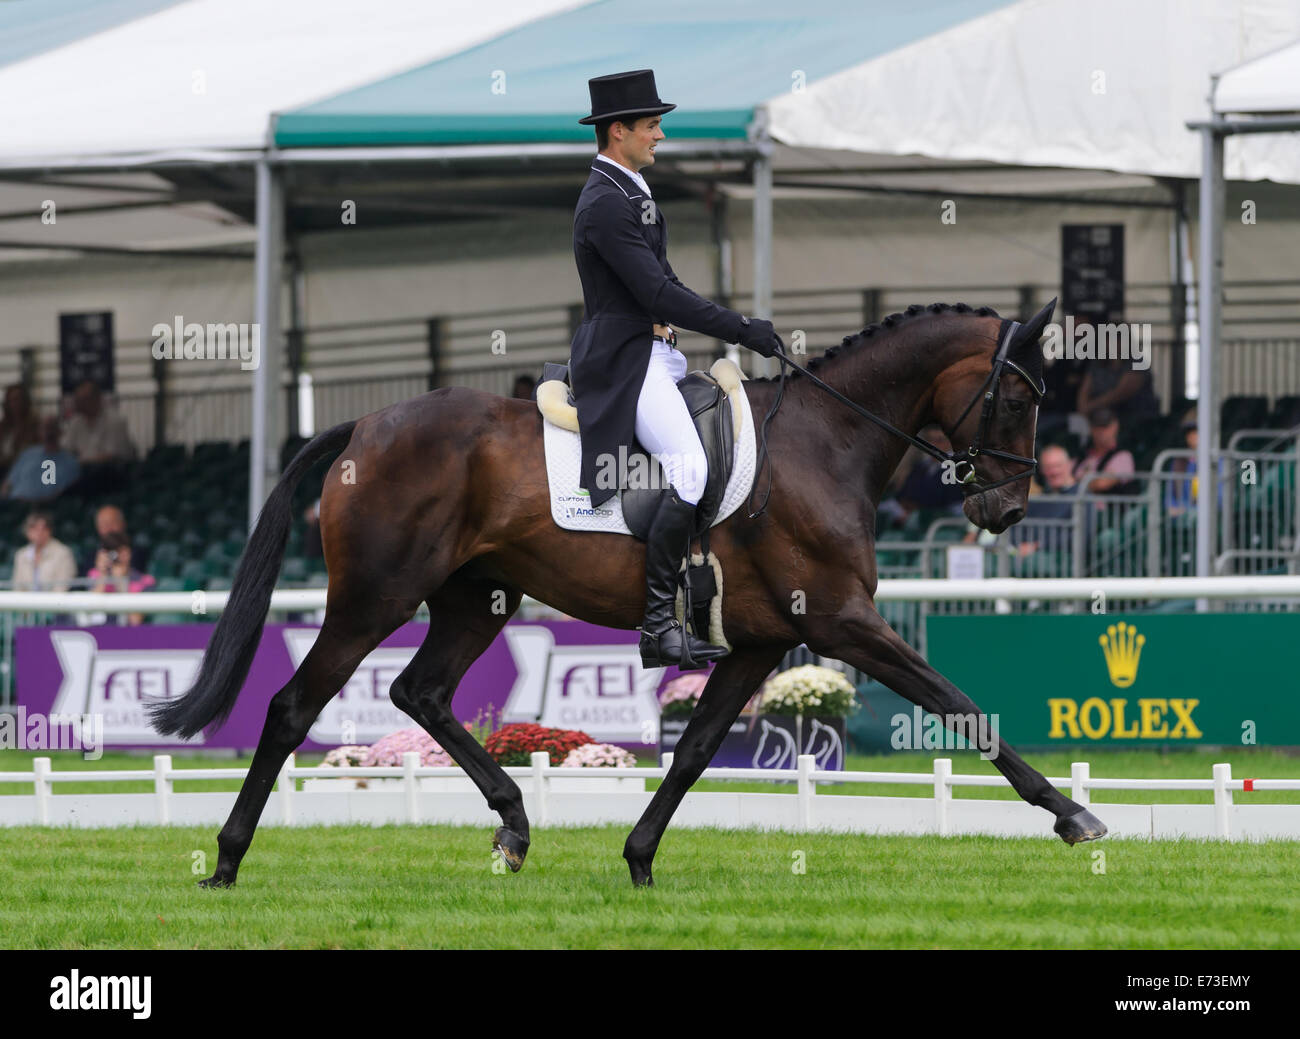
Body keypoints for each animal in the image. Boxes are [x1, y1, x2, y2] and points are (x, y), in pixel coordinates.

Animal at [149, 299, 1107, 884]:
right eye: (1016, 398)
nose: (1005, 508)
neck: (827, 440)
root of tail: (365, 424)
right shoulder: (843, 621)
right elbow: (961, 704)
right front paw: (1074, 815)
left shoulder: (761, 641)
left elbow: (695, 749)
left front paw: (640, 855)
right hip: (371, 598)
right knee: (292, 706)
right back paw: (227, 858)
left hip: (474, 600)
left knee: (422, 692)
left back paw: (514, 823)